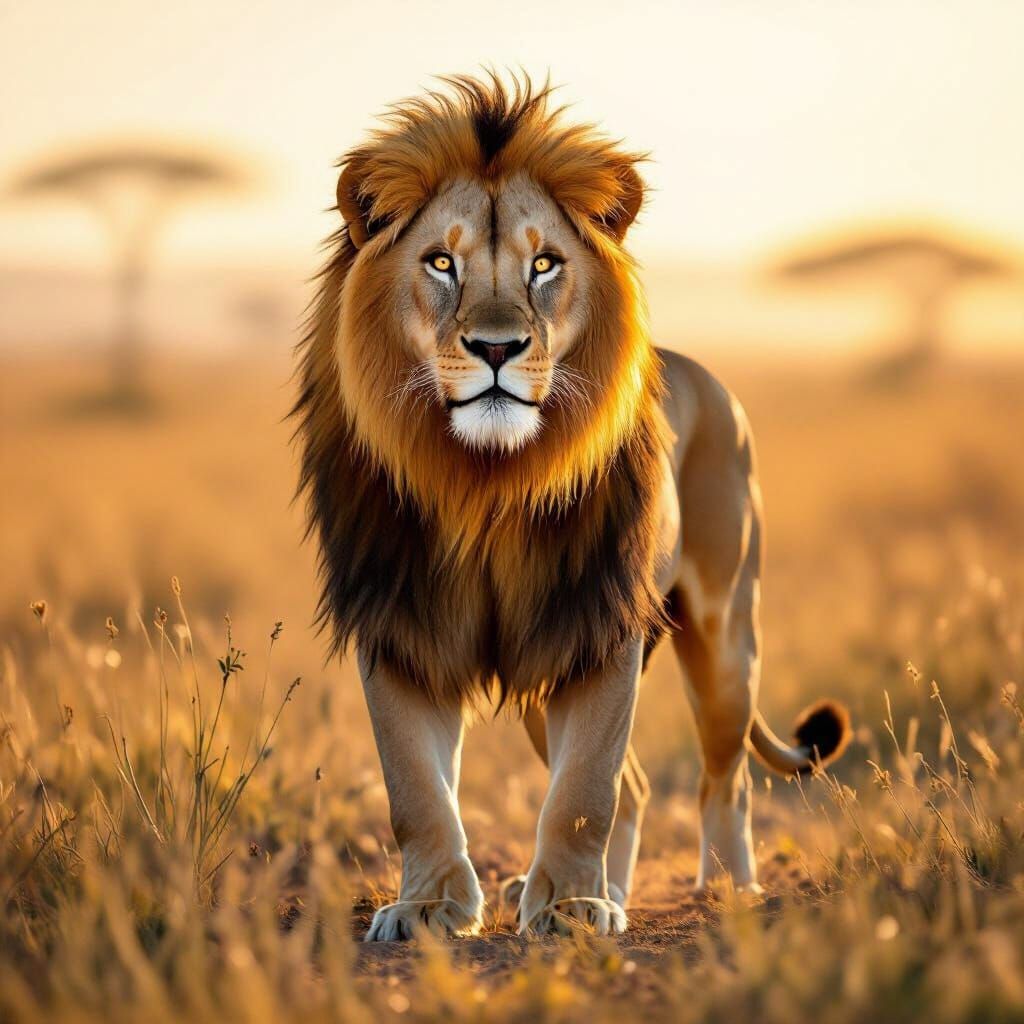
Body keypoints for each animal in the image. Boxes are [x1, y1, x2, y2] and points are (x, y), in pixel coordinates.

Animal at [292, 73, 851, 941]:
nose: (496, 349)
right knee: (643, 785)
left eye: (545, 264)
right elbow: (416, 788)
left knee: (724, 779)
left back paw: (726, 891)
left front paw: (572, 909)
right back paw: (609, 889)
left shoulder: (591, 624)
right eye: (441, 262)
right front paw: (429, 907)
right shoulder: (400, 622)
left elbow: (586, 789)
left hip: (726, 636)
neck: (484, 482)